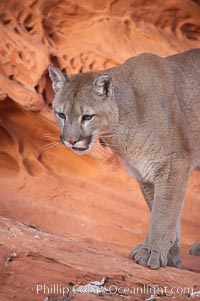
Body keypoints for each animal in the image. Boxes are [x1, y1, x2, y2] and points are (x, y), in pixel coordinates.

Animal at [48, 49, 200, 270]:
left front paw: (152, 251)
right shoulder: (145, 174)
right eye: (61, 114)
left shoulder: (173, 163)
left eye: (87, 117)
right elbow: (161, 211)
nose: (71, 140)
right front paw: (171, 259)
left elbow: (163, 214)